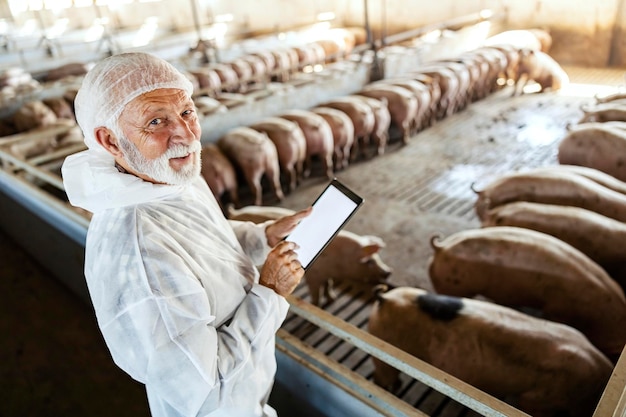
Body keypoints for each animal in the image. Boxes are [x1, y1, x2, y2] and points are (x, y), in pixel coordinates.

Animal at [224, 205, 390, 306]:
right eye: (369, 262)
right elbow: (316, 293)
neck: (340, 261)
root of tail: (235, 213)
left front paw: (333, 299)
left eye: (377, 258)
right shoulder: (313, 276)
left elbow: (328, 285)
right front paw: (318, 304)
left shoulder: (327, 274)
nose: (388, 271)